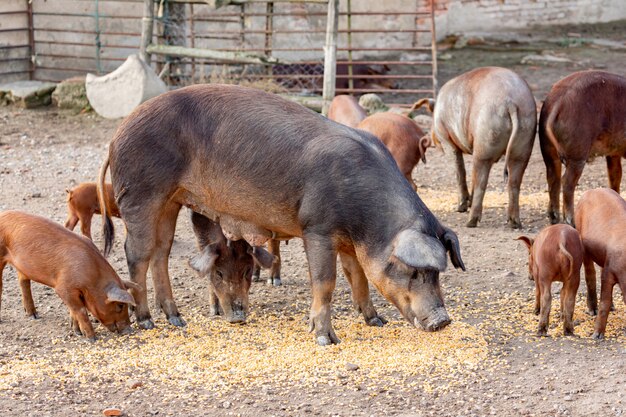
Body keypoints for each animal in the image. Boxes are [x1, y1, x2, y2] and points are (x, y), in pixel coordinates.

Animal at [0, 210, 138, 340]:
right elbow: (81, 311)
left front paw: (77, 332)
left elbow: (73, 310)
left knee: (23, 281)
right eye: (120, 305)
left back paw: (34, 316)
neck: (92, 276)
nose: (129, 330)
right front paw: (91, 338)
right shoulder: (63, 287)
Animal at [97, 83, 464, 344]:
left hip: (171, 200)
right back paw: (146, 321)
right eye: (412, 271)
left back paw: (177, 319)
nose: (442, 320)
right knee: (137, 253)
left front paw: (376, 321)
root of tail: (116, 137)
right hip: (142, 193)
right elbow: (326, 281)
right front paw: (325, 339)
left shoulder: (349, 242)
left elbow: (357, 277)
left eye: (437, 272)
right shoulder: (317, 228)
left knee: (161, 252)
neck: (366, 221)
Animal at [416, 66, 532, 228]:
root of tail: (511, 103)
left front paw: (460, 208)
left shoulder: (447, 139)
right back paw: (514, 223)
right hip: (524, 139)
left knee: (481, 182)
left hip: (486, 133)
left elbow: (460, 170)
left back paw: (470, 222)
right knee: (514, 182)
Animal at [536, 70, 624, 226]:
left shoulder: (613, 153)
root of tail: (559, 101)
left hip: (547, 149)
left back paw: (554, 219)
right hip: (577, 152)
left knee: (553, 178)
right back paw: (571, 222)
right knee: (567, 182)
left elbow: (615, 175)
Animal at [572, 188, 626, 338]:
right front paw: (596, 336)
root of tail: (592, 190)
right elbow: (604, 302)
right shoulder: (609, 271)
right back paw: (592, 311)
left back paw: (613, 307)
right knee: (590, 273)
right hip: (581, 239)